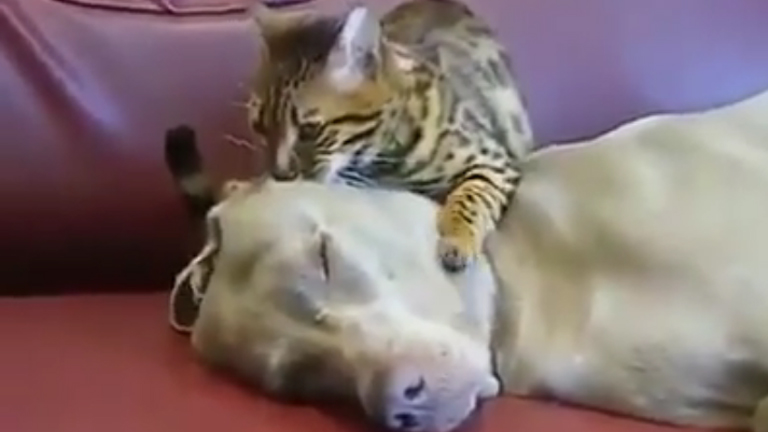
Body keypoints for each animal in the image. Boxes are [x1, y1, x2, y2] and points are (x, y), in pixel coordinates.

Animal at [247, 0, 534, 272]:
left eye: (309, 130)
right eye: (259, 127)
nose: (279, 174)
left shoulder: (493, 162)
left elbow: (471, 199)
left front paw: (458, 241)